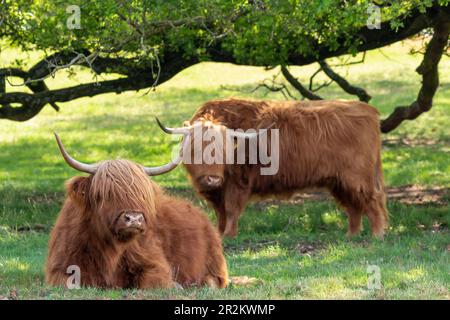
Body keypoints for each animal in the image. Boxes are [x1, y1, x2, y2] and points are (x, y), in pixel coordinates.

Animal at [45, 134, 229, 288]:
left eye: (142, 195)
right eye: (106, 194)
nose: (134, 218)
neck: (111, 249)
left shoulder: (154, 263)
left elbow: (153, 282)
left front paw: (177, 285)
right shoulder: (60, 268)